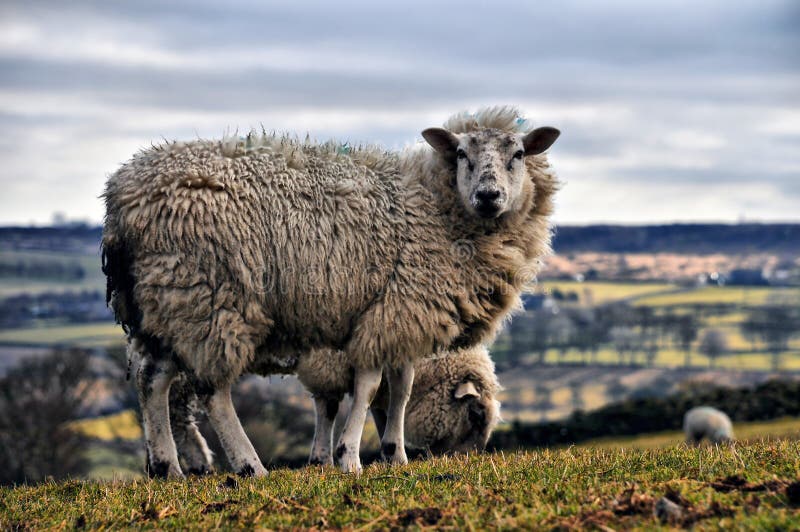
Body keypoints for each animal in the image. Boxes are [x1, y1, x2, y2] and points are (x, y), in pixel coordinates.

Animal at [103, 106, 560, 476]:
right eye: (462, 154)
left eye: (518, 155)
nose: (488, 195)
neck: (433, 207)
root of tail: (122, 196)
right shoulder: (379, 316)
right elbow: (366, 390)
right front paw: (346, 457)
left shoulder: (400, 317)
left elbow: (399, 388)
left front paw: (393, 455)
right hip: (210, 296)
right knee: (210, 390)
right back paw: (248, 466)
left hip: (165, 299)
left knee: (152, 378)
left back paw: (167, 468)